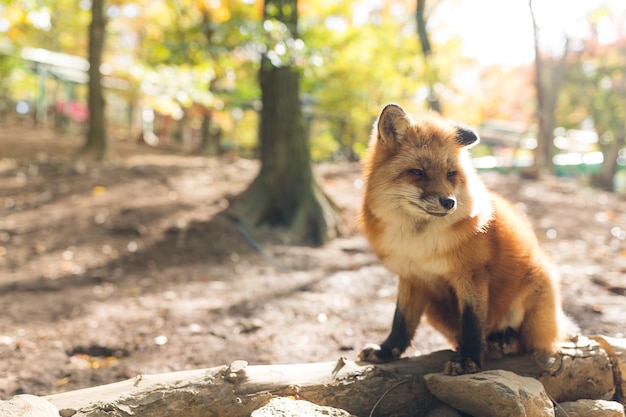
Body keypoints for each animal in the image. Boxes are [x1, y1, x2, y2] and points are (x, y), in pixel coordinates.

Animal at [356, 104, 564, 374]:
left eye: (451, 174)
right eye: (418, 172)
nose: (449, 202)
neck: (419, 244)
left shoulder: (471, 274)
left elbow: (472, 324)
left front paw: (469, 359)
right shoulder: (411, 277)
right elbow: (401, 322)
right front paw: (386, 351)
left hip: (535, 284)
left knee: (528, 341)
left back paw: (503, 341)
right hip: (434, 311)